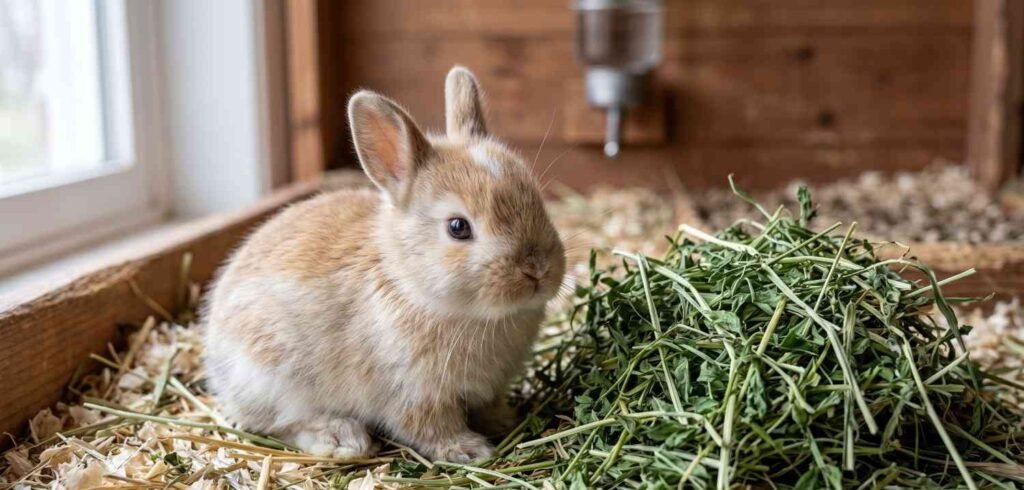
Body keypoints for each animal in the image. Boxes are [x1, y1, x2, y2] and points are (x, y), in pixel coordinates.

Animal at [202, 66, 566, 463]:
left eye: (536, 200)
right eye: (458, 227)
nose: (537, 270)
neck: (408, 283)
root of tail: (214, 355)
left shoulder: (490, 388)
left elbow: (490, 407)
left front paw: (505, 422)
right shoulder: (414, 392)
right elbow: (431, 428)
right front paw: (470, 451)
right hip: (271, 376)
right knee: (279, 422)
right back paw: (343, 438)